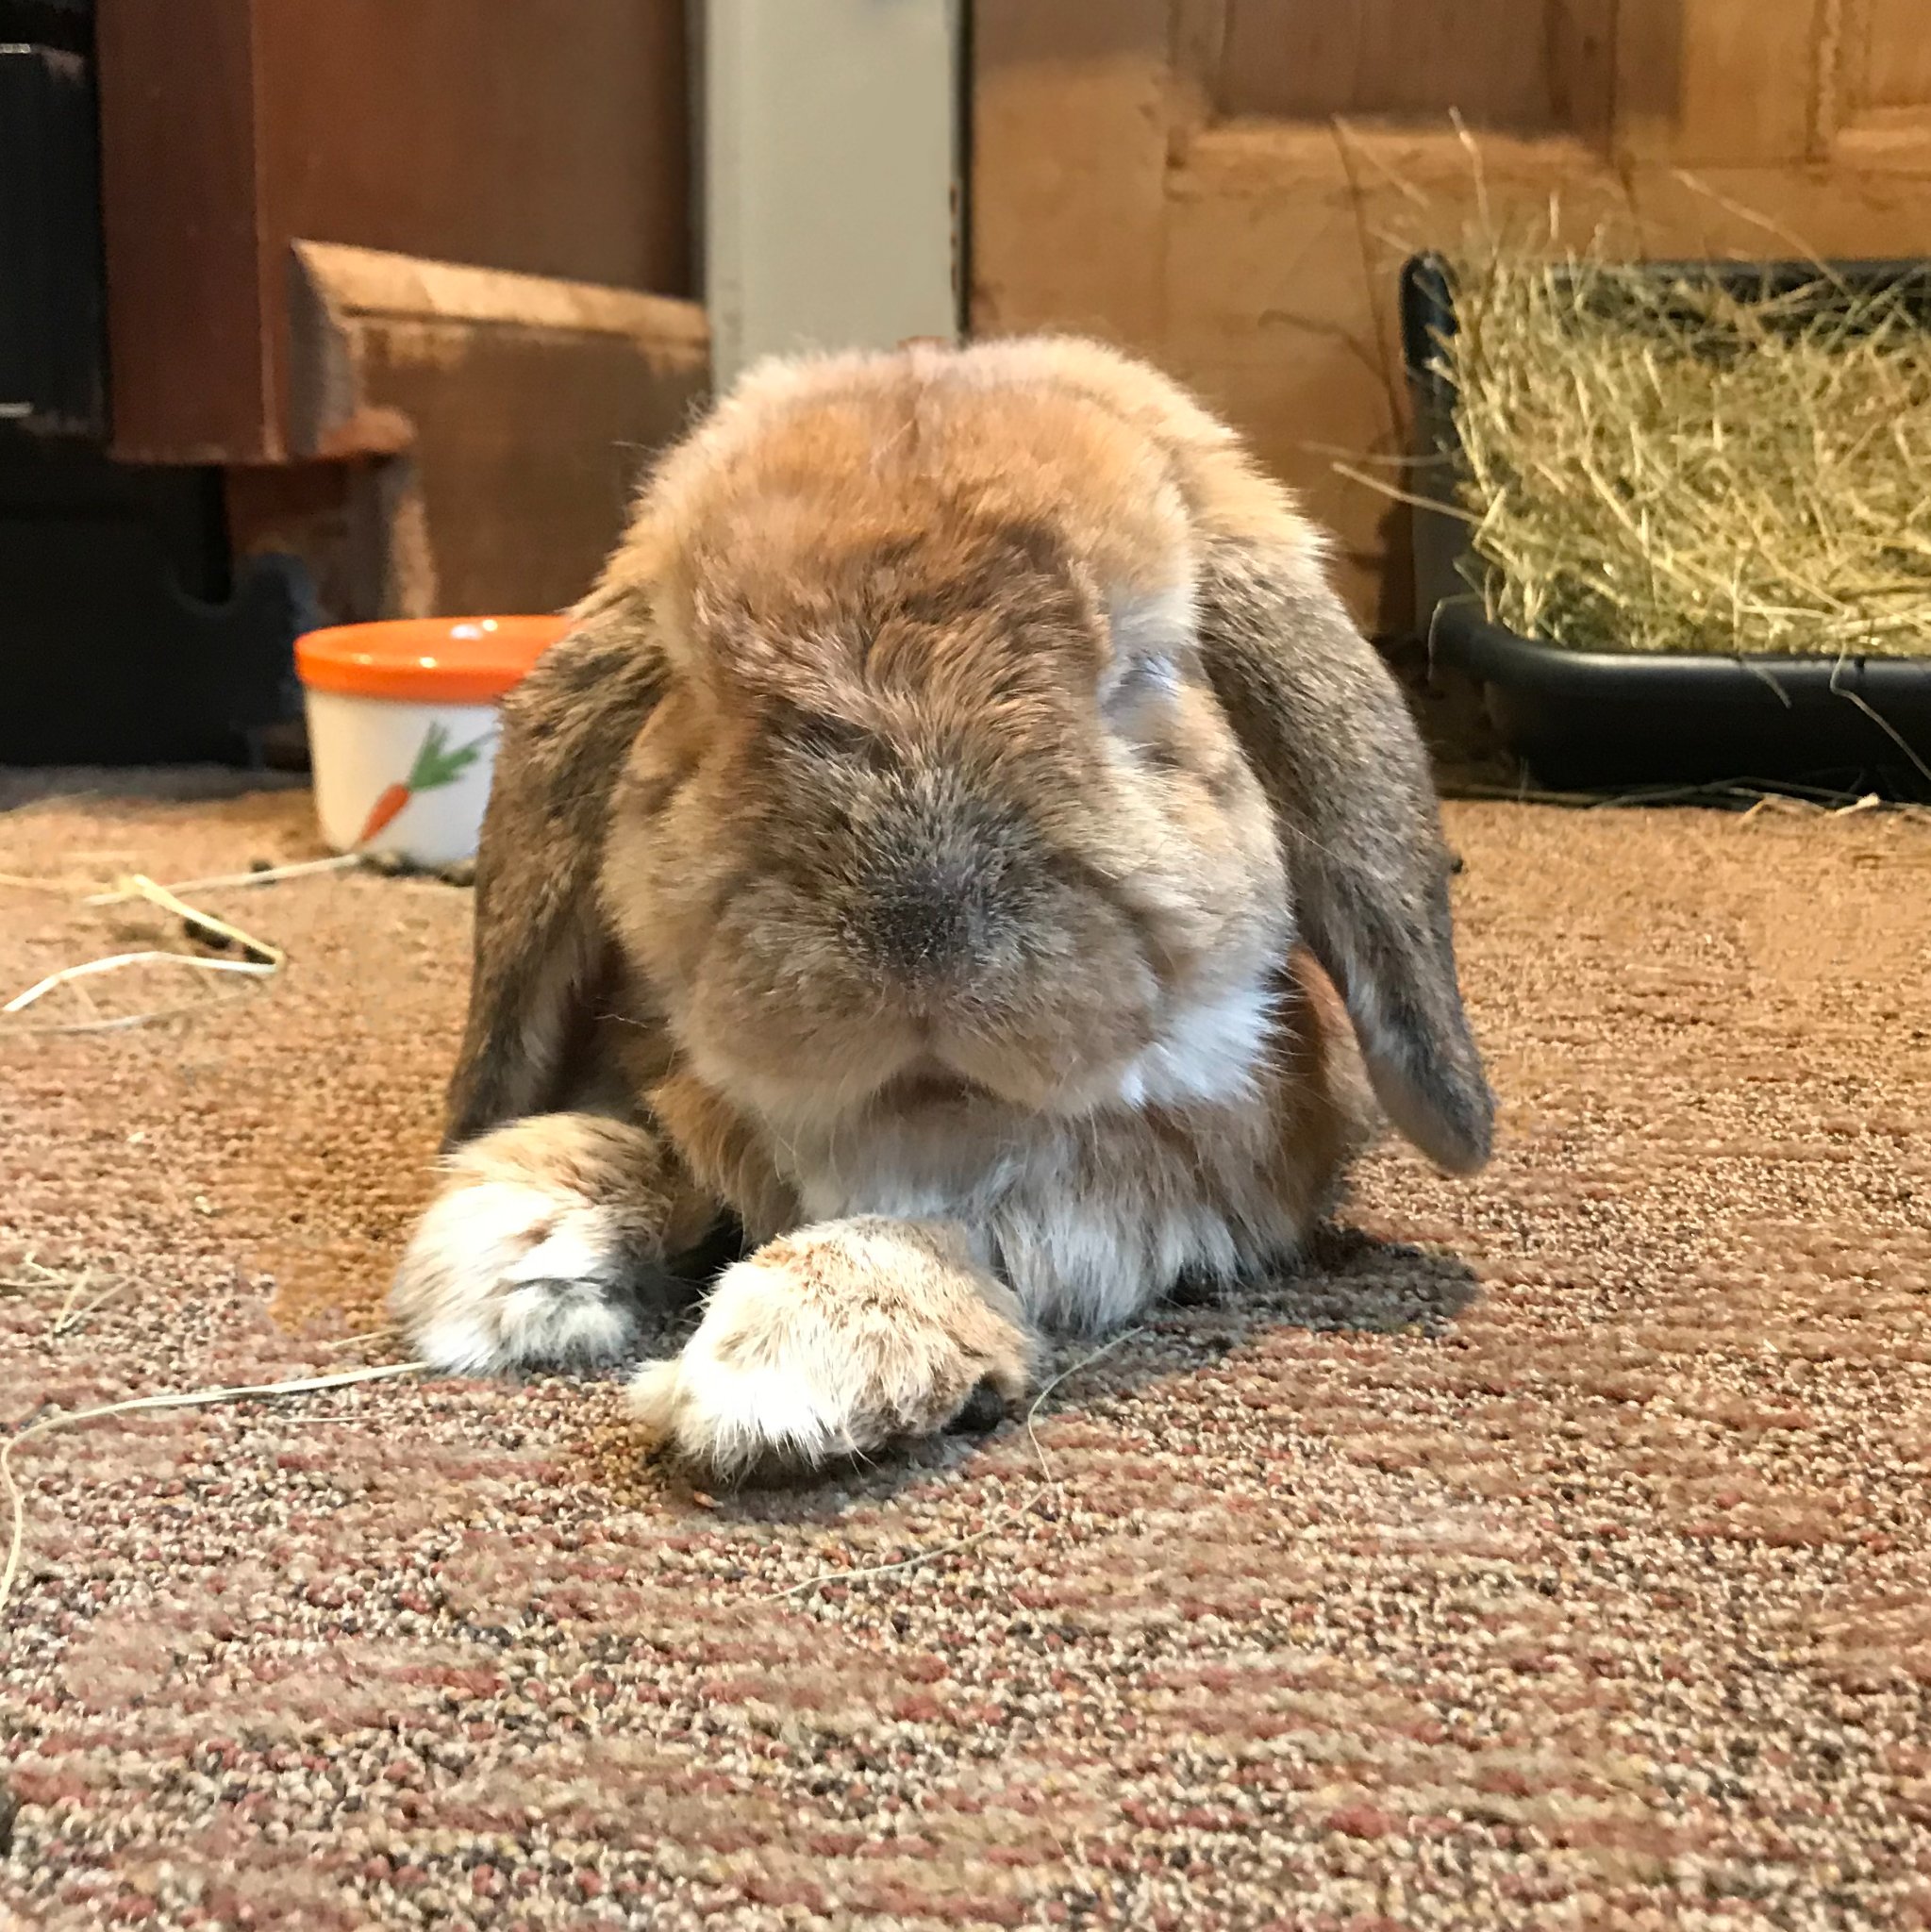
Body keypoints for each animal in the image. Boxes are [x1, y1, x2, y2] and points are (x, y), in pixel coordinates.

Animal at [387, 335, 1495, 1475]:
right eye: (701, 689)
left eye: (1141, 670)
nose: (917, 931)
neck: (920, 1106)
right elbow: (646, 1132)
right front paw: (503, 1246)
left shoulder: (1209, 1157)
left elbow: (989, 1214)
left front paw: (788, 1362)